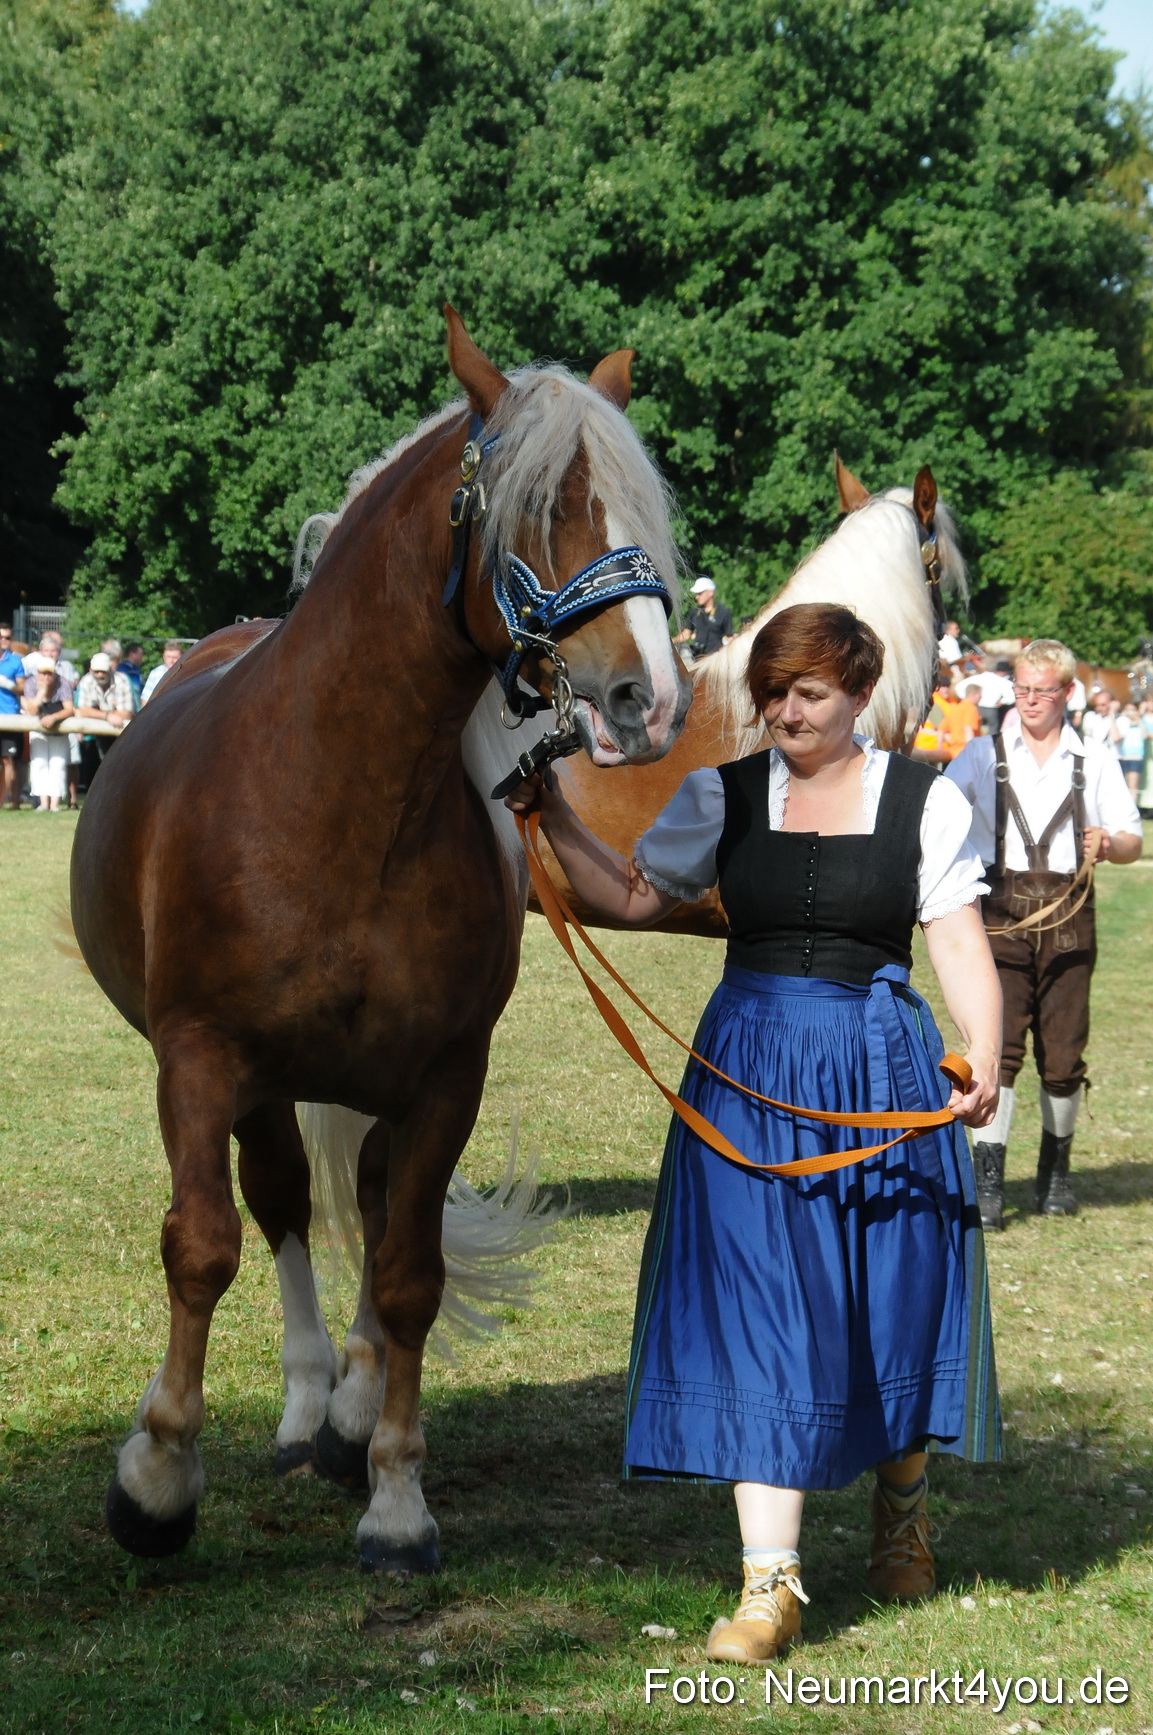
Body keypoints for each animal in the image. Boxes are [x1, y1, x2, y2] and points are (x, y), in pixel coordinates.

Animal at [70, 308, 692, 1574]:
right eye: (543, 505)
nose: (646, 698)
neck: (338, 791)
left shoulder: (443, 1076)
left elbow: (407, 1271)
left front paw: (397, 1495)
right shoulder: (200, 1059)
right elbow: (203, 1245)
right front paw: (157, 1476)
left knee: (359, 1199)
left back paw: (349, 1412)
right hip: (261, 1083)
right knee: (281, 1209)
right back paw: (307, 1400)